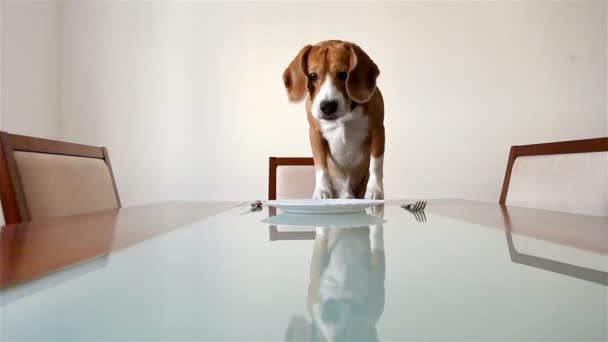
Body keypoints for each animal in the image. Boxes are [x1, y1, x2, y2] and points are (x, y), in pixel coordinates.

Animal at [284, 40, 384, 200]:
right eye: (312, 75)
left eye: (343, 74)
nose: (327, 106)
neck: (345, 114)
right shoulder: (315, 133)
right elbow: (320, 165)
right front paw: (322, 190)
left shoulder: (378, 129)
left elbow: (376, 164)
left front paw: (375, 190)